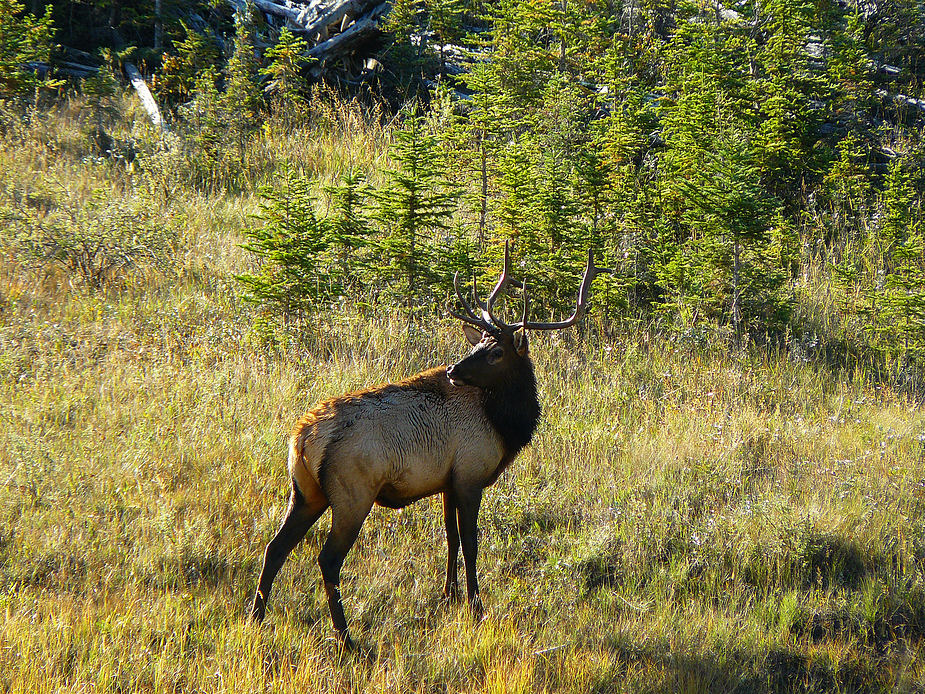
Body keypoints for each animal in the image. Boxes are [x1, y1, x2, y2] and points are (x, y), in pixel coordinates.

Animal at [249, 243, 608, 648]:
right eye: (481, 344)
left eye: (496, 351)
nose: (453, 370)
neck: (505, 426)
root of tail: (303, 437)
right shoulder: (470, 475)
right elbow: (470, 541)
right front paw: (476, 605)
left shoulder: (446, 481)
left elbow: (450, 537)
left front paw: (449, 595)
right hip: (352, 494)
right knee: (328, 559)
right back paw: (346, 637)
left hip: (305, 492)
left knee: (275, 548)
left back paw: (256, 618)